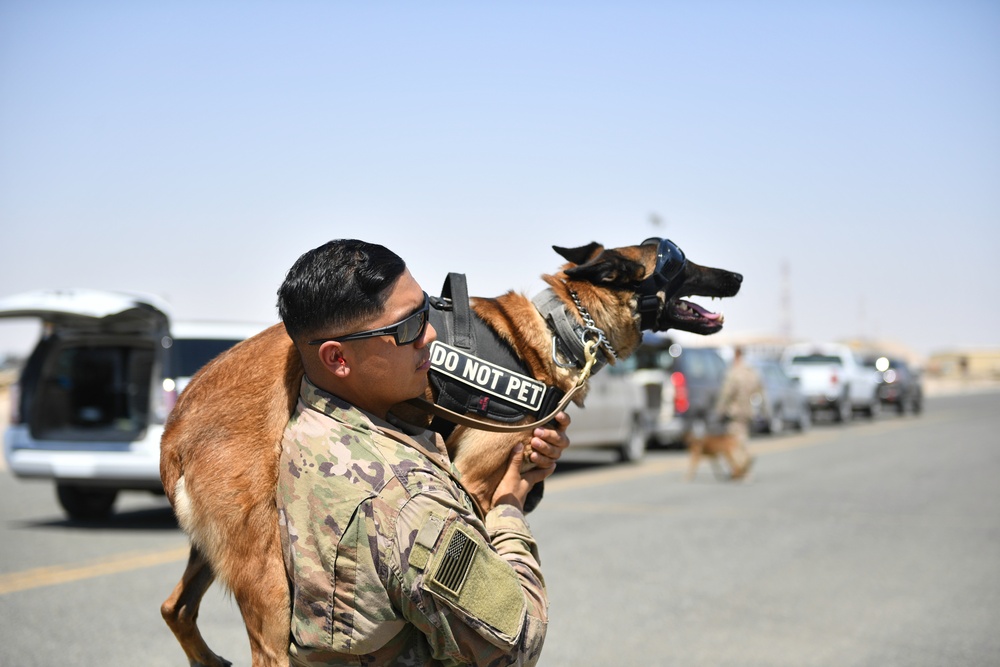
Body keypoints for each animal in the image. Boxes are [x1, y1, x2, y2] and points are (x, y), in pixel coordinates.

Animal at [158, 237, 744, 664]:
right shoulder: (476, 483)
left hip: (213, 552)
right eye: (678, 262)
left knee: (174, 609)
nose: (736, 277)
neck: (562, 328)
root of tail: (174, 428)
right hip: (268, 579)